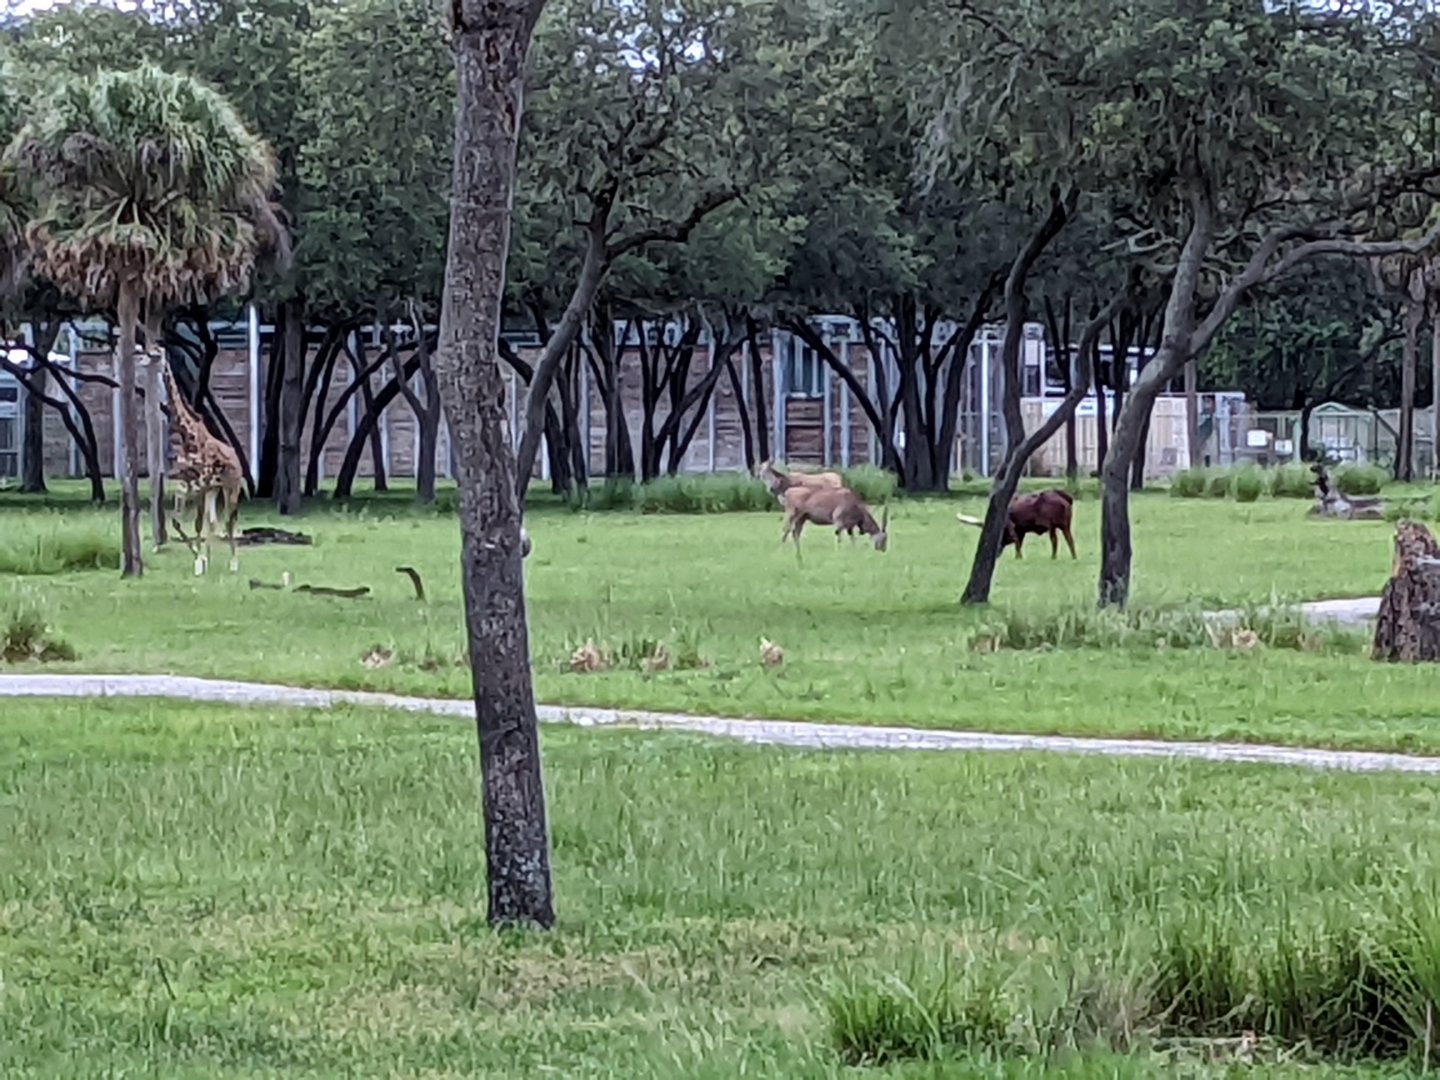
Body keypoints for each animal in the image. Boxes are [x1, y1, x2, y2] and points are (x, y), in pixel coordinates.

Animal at [158, 352, 245, 575]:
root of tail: (237, 459)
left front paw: (199, 561)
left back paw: (233, 564)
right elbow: (178, 521)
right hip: (214, 489)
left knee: (229, 521)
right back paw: (210, 558)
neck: (190, 438)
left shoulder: (201, 485)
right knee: (214, 522)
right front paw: (200, 558)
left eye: (155, 352)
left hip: (231, 488)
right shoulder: (187, 484)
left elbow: (198, 524)